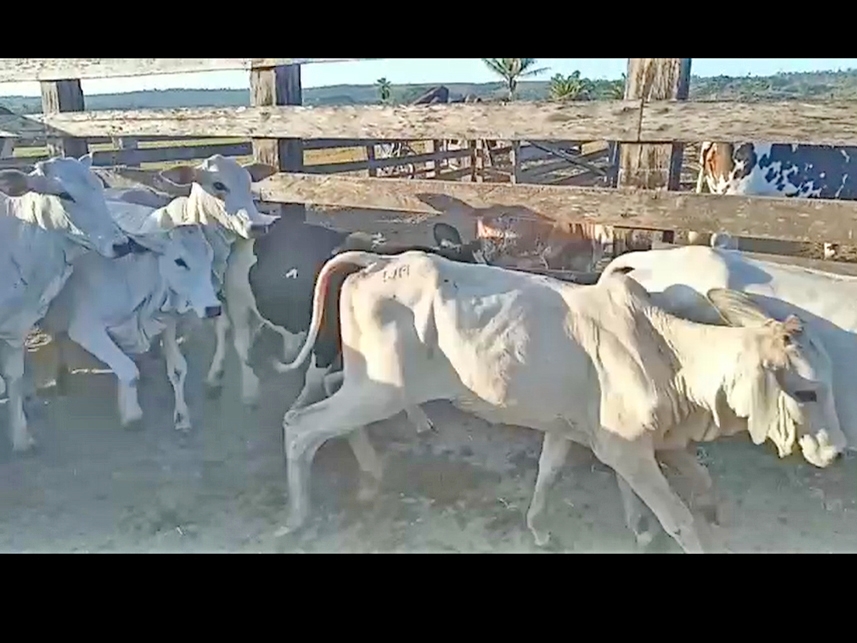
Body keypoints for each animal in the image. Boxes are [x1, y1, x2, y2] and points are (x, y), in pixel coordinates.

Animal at [0, 155, 134, 452]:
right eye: (64, 195)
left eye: (99, 186)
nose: (122, 245)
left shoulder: (16, 327)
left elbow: (13, 375)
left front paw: (21, 438)